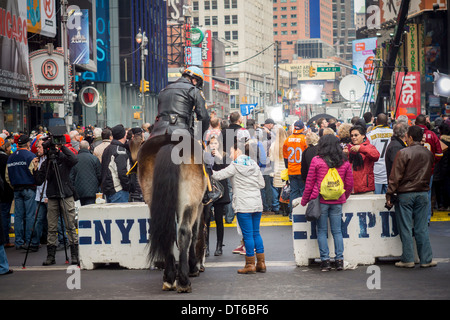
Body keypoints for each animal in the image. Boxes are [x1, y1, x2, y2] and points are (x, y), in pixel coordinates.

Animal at [137, 134, 207, 294]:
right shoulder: (199, 205)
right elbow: (195, 234)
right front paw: (193, 267)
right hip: (190, 202)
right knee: (185, 232)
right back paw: (184, 281)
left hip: (154, 201)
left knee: (165, 233)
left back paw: (169, 278)